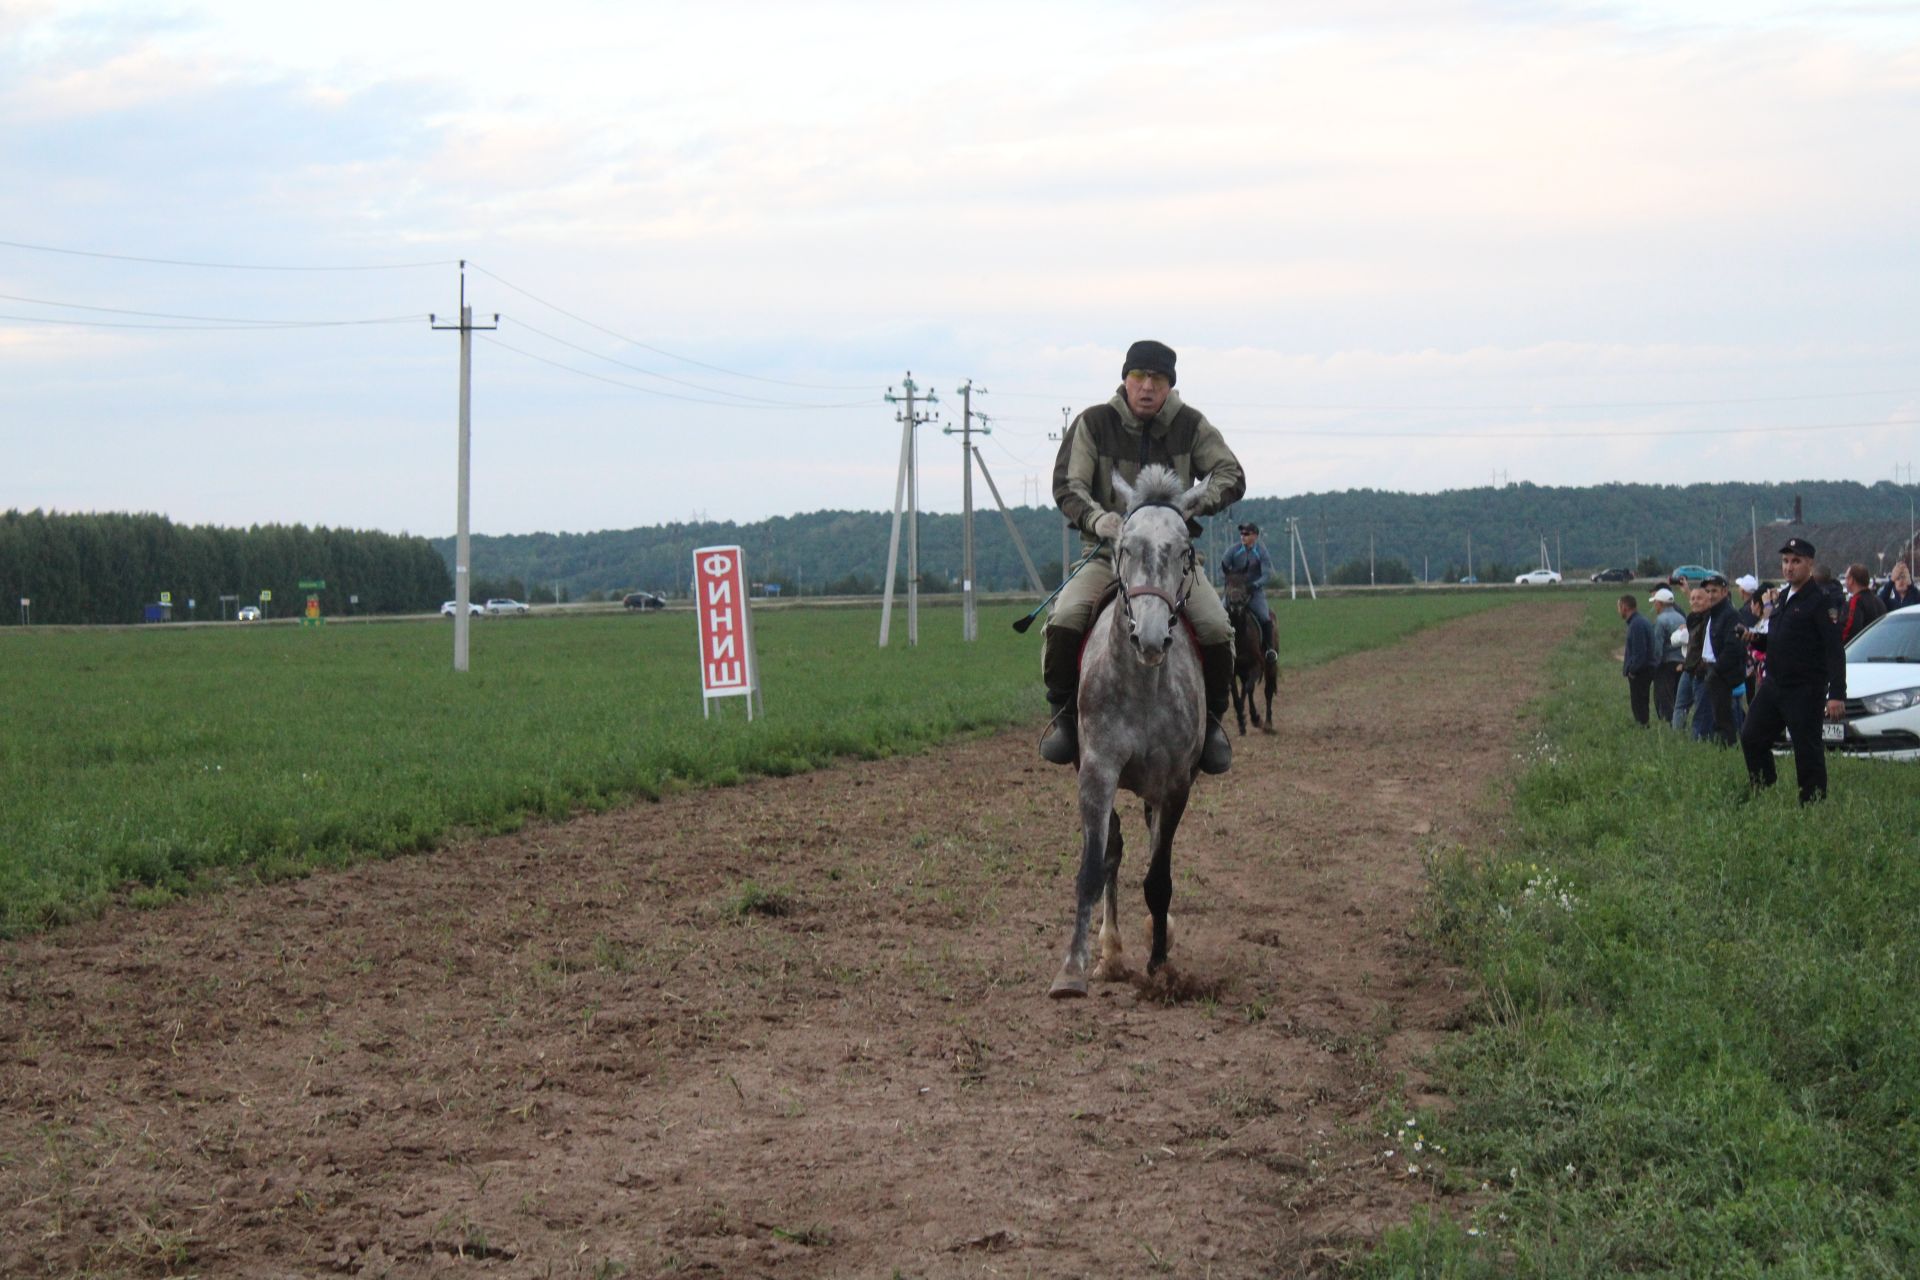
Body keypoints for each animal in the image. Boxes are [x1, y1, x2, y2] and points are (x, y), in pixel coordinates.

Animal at [1059, 466, 1205, 997]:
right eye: (1123, 546)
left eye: (1185, 550)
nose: (1150, 637)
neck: (1142, 683)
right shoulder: (1097, 772)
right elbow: (1092, 866)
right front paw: (1074, 968)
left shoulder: (1177, 783)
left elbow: (1159, 879)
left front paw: (1161, 964)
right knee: (1114, 851)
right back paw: (1110, 953)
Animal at [1228, 571, 1274, 740]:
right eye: (1227, 582)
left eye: (1244, 582)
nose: (1235, 603)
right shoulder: (1232, 671)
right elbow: (1236, 695)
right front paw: (1241, 722)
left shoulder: (1257, 666)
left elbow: (1249, 689)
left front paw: (1255, 718)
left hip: (1270, 666)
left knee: (1268, 691)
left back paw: (1267, 723)